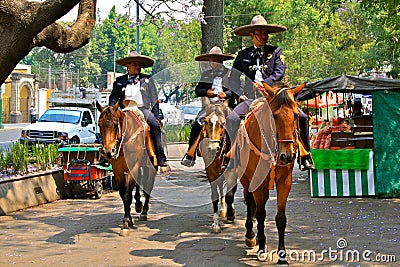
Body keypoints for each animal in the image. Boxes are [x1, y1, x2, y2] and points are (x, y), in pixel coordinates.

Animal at [97, 101, 158, 234]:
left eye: (115, 124)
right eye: (99, 125)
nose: (108, 152)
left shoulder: (133, 167)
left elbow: (127, 195)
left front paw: (125, 222)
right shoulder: (118, 170)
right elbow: (122, 194)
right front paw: (129, 219)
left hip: (150, 165)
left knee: (148, 186)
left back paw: (144, 211)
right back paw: (138, 205)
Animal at [198, 100, 238, 234]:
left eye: (223, 123)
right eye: (206, 122)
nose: (212, 149)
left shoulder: (232, 170)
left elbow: (230, 194)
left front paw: (231, 214)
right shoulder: (211, 172)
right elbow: (215, 196)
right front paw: (216, 224)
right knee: (221, 188)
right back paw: (223, 209)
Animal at [230, 81, 304, 264]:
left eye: (296, 115)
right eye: (274, 116)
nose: (287, 155)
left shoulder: (285, 182)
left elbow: (280, 218)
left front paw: (282, 255)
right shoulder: (257, 182)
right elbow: (261, 214)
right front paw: (262, 248)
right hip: (246, 179)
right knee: (250, 202)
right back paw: (250, 235)